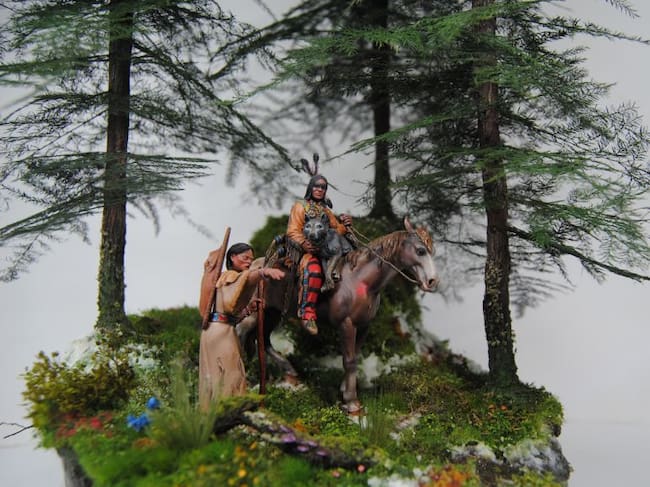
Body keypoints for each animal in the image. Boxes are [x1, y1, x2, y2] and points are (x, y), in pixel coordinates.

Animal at [238, 216, 439, 414]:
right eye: (420, 250)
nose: (432, 282)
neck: (361, 281)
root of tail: (254, 267)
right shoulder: (347, 325)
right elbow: (348, 360)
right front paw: (352, 403)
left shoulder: (364, 326)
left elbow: (355, 357)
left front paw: (344, 390)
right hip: (254, 315)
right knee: (241, 333)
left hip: (271, 313)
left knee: (264, 340)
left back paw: (290, 372)